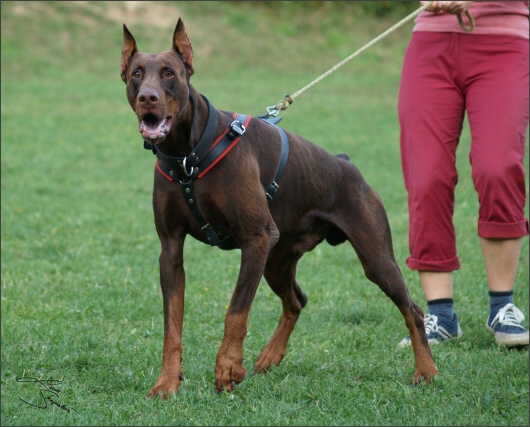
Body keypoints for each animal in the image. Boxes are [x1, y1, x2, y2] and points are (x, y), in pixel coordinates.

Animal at [121, 18, 436, 400]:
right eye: (137, 74)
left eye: (169, 73)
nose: (147, 97)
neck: (188, 155)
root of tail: (345, 164)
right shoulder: (171, 247)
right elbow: (172, 324)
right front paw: (167, 381)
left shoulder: (256, 238)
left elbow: (236, 311)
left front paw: (227, 368)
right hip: (276, 259)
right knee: (297, 300)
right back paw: (271, 355)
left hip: (373, 256)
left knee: (412, 309)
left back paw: (426, 370)